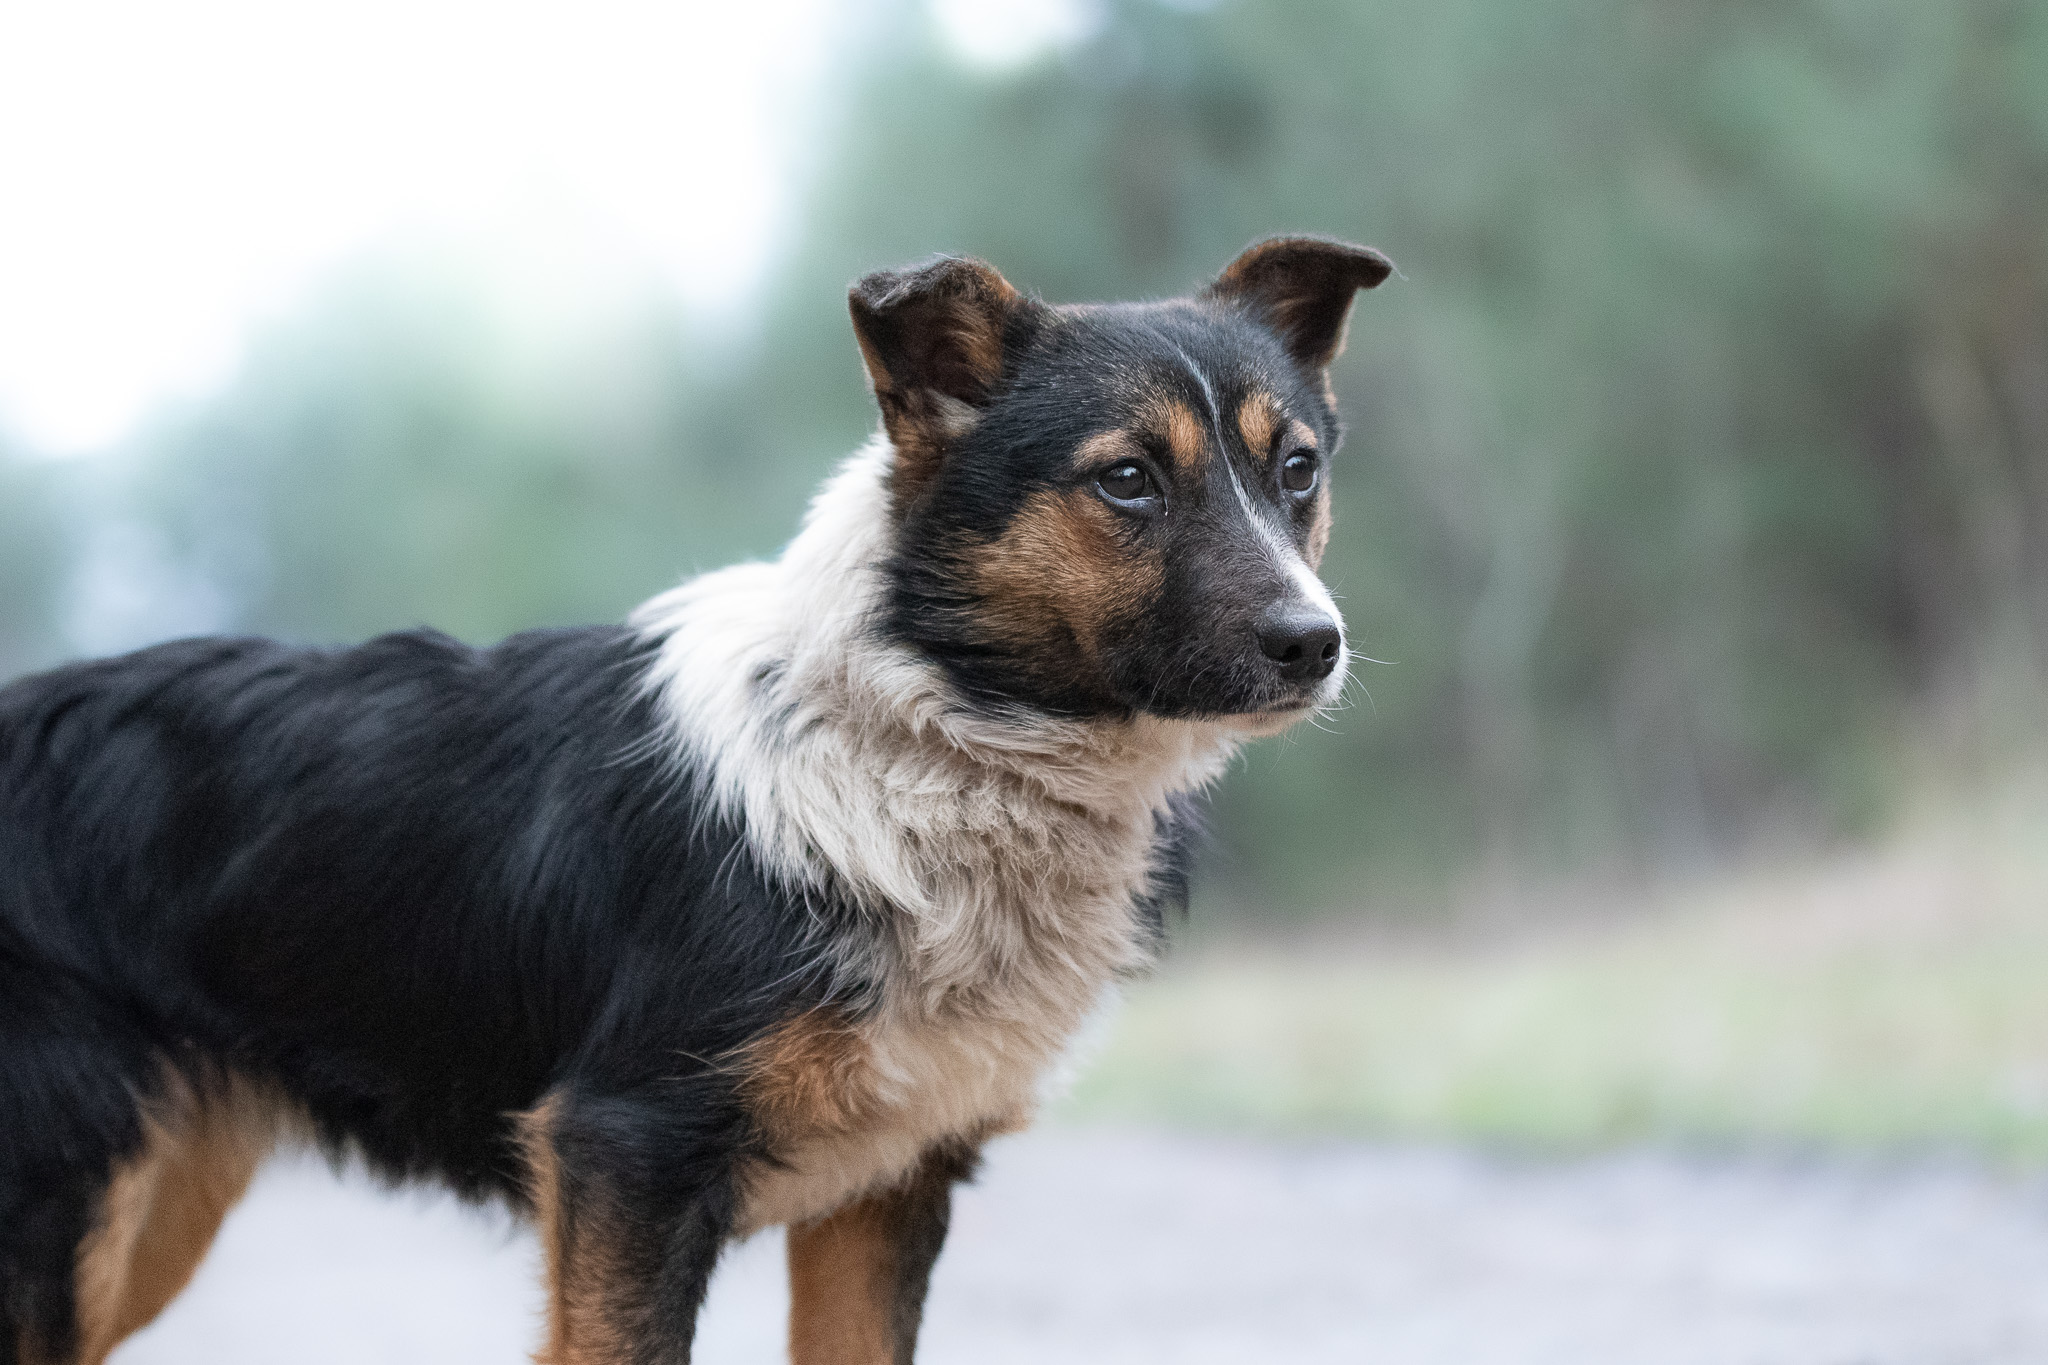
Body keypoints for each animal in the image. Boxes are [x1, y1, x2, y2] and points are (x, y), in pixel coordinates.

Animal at [0, 235, 1392, 1364]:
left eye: (1296, 470)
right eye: (1124, 481)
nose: (1311, 646)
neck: (931, 736)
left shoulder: (885, 1192)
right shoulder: (628, 1156)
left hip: (155, 1207)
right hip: (75, 1206)